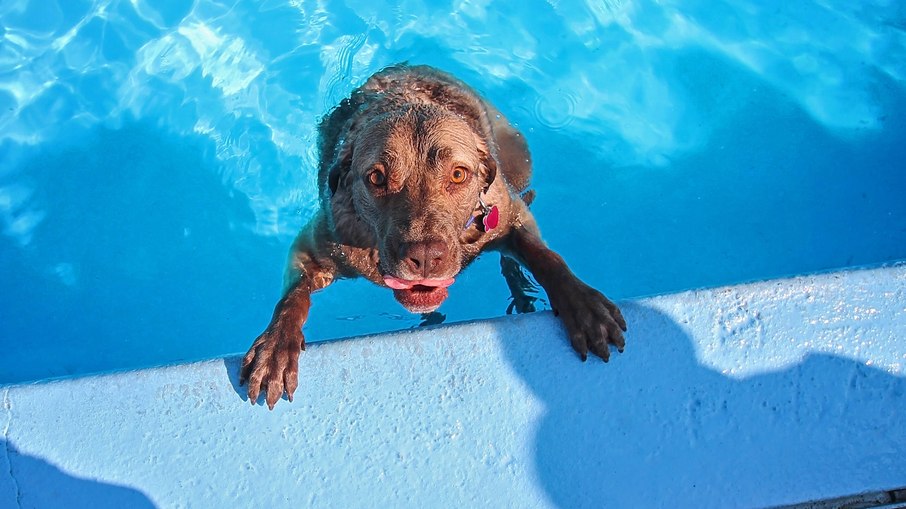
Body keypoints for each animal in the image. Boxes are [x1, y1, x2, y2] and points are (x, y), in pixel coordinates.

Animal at [237, 63, 624, 408]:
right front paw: (276, 345)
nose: (425, 256)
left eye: (458, 174)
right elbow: (293, 297)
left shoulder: (509, 214)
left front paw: (583, 304)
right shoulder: (318, 245)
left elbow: (545, 256)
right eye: (376, 177)